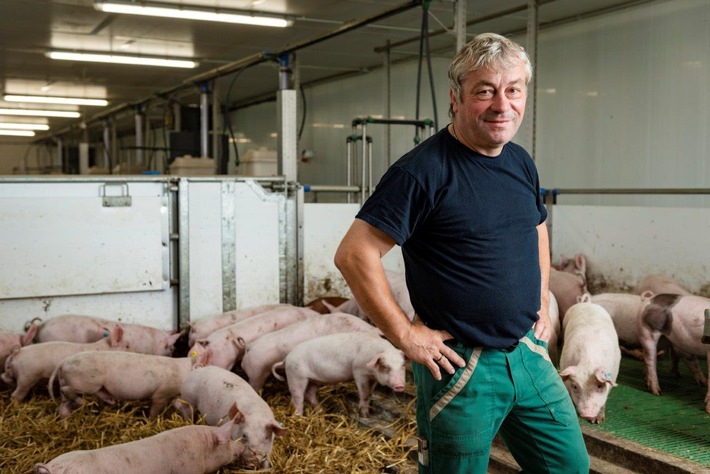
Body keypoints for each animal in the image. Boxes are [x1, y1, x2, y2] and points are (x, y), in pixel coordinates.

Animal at [272, 332, 406, 416]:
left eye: (403, 365)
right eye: (386, 367)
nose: (400, 385)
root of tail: (286, 359)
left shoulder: (373, 378)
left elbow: (369, 393)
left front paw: (367, 413)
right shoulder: (358, 371)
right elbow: (364, 392)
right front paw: (363, 414)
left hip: (314, 380)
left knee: (309, 394)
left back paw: (321, 411)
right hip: (296, 376)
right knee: (297, 398)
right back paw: (300, 417)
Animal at [560, 294, 620, 424]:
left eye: (599, 386)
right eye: (575, 386)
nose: (587, 414)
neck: (588, 362)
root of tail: (587, 303)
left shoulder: (614, 373)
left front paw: (598, 421)